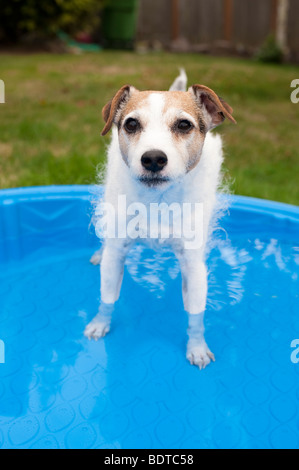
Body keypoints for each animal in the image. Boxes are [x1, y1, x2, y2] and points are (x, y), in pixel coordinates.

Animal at [84, 71, 237, 370]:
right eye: (131, 124)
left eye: (184, 124)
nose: (153, 158)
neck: (158, 202)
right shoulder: (116, 254)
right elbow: (107, 297)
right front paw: (100, 323)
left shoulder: (193, 266)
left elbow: (196, 315)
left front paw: (197, 347)